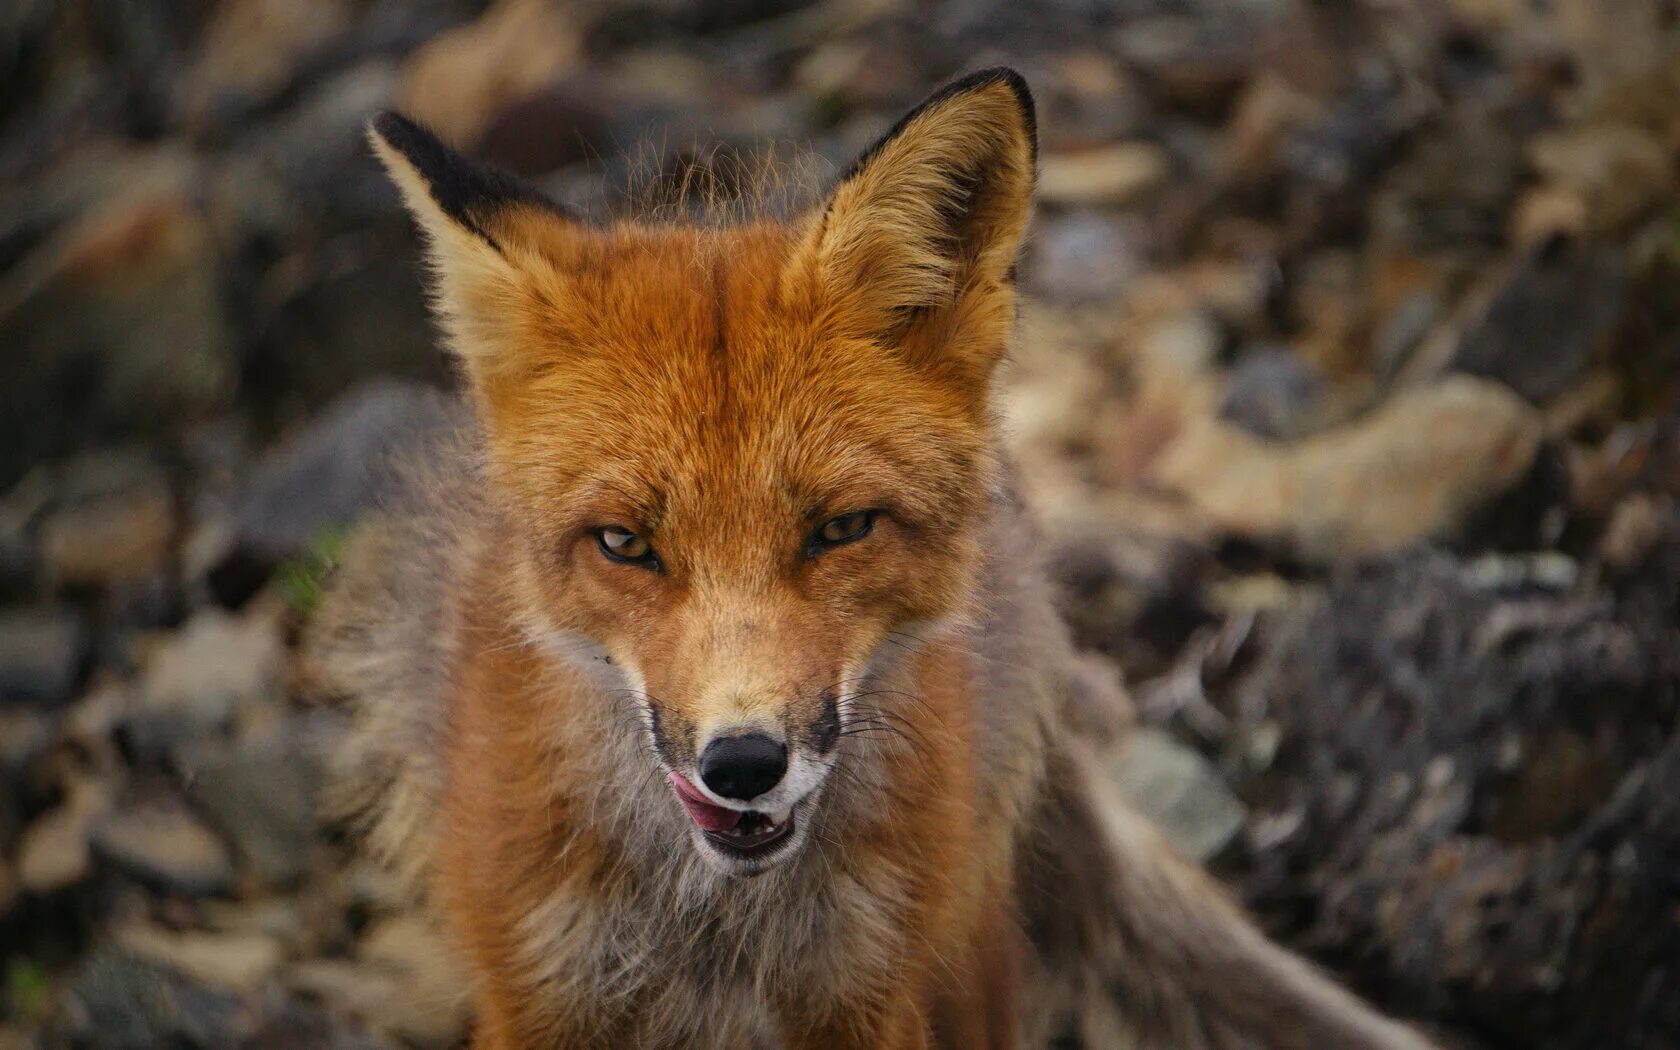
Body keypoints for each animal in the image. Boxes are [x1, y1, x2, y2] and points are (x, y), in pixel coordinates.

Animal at [315, 67, 1444, 1048]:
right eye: (625, 544)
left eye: (841, 529)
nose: (743, 764)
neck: (715, 929)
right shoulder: (540, 994)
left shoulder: (870, 997)